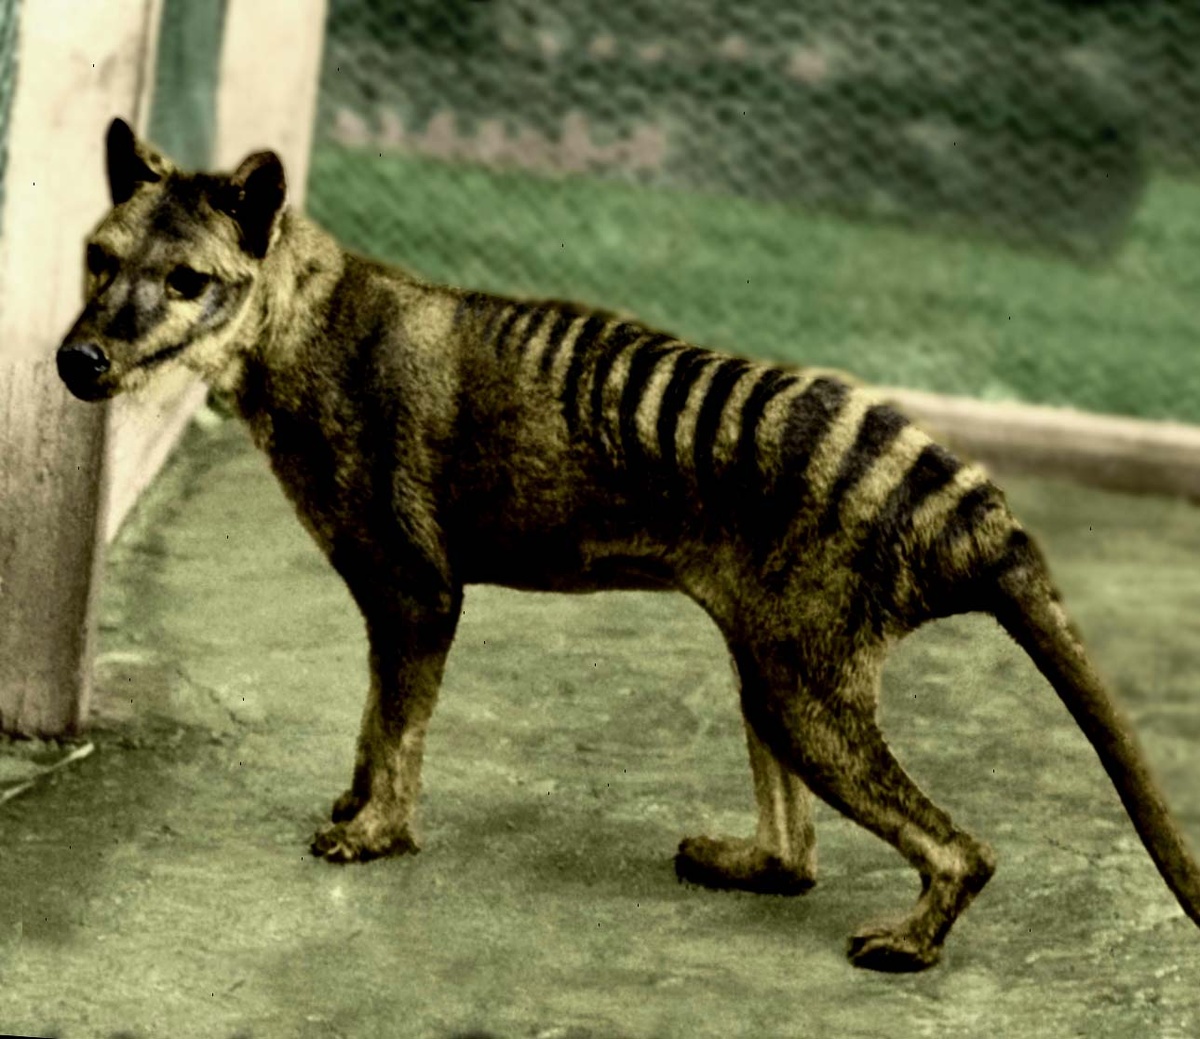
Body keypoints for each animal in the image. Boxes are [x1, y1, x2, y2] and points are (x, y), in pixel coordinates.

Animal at [56, 118, 1200, 971]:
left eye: (187, 279)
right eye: (99, 258)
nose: (80, 358)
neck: (299, 319)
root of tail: (977, 507)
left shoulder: (418, 590)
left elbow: (399, 727)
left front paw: (376, 832)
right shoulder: (390, 600)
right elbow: (373, 720)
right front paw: (355, 800)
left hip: (804, 684)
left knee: (965, 850)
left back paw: (911, 942)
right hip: (768, 666)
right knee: (798, 857)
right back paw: (748, 861)